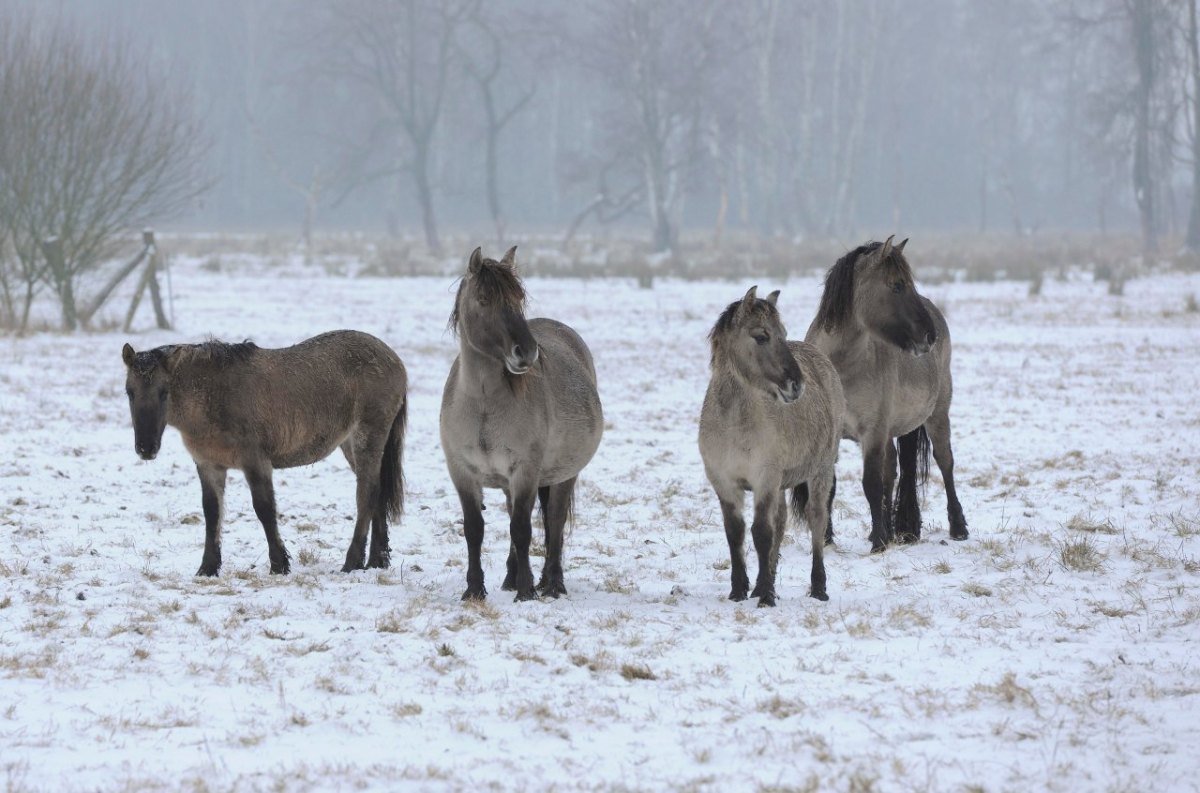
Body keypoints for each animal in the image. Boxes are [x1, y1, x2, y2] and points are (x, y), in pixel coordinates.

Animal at [122, 328, 410, 575]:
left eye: (164, 392)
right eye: (129, 392)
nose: (146, 448)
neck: (213, 396)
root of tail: (395, 360)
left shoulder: (255, 461)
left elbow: (264, 509)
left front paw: (279, 564)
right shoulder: (208, 465)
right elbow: (212, 512)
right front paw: (208, 568)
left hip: (368, 437)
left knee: (366, 493)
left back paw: (352, 562)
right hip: (350, 444)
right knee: (377, 492)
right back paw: (377, 561)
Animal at [439, 247, 604, 599]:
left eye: (519, 298)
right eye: (484, 299)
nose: (527, 352)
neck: (483, 406)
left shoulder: (525, 471)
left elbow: (523, 529)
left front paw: (527, 591)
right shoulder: (462, 472)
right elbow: (474, 529)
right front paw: (474, 589)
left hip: (564, 475)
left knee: (554, 522)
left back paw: (552, 583)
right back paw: (510, 578)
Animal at [696, 287, 844, 602]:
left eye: (783, 334)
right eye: (762, 336)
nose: (796, 384)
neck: (734, 424)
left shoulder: (765, 479)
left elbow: (762, 532)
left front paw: (764, 595)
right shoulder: (724, 482)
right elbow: (736, 533)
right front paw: (740, 590)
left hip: (821, 471)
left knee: (817, 519)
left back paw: (818, 588)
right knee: (782, 521)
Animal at [806, 236, 964, 549]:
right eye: (897, 285)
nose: (929, 335)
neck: (841, 367)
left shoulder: (873, 431)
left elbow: (871, 483)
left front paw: (878, 542)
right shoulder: (833, 433)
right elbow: (830, 485)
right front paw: (826, 538)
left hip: (937, 415)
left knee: (945, 462)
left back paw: (957, 527)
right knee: (892, 470)